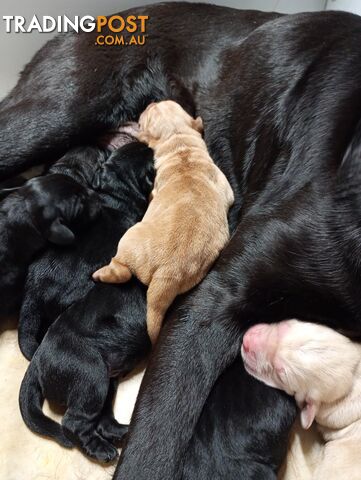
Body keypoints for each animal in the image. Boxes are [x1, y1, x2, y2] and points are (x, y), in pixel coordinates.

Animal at [93, 99, 233, 344]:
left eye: (146, 117)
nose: (152, 101)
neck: (180, 144)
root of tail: (166, 274)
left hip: (129, 238)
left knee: (122, 270)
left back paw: (100, 274)